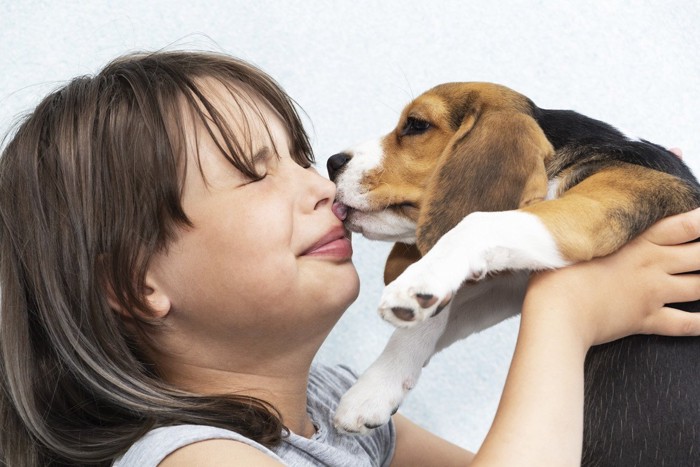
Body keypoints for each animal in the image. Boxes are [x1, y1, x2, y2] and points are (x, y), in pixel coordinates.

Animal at [330, 82, 700, 466]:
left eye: (416, 125)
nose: (332, 163)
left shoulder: (592, 211)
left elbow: (476, 221)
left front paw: (417, 283)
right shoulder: (513, 285)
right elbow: (436, 317)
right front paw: (372, 389)